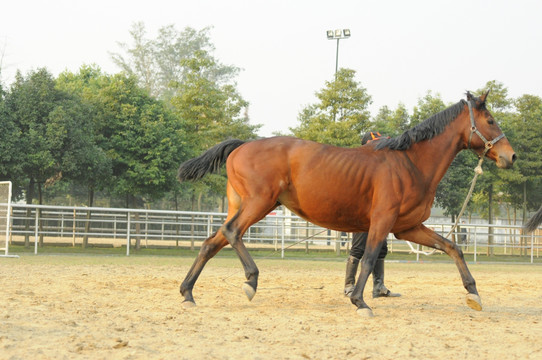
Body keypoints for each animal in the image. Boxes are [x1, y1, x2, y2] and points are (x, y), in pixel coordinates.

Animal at [178, 91, 520, 316]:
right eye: (490, 120)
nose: (511, 155)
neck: (410, 163)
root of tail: (242, 145)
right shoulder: (382, 222)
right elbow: (368, 259)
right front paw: (360, 301)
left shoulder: (407, 227)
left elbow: (452, 247)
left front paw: (473, 293)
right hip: (258, 204)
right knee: (232, 232)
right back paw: (250, 280)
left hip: (242, 205)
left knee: (211, 242)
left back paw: (187, 293)